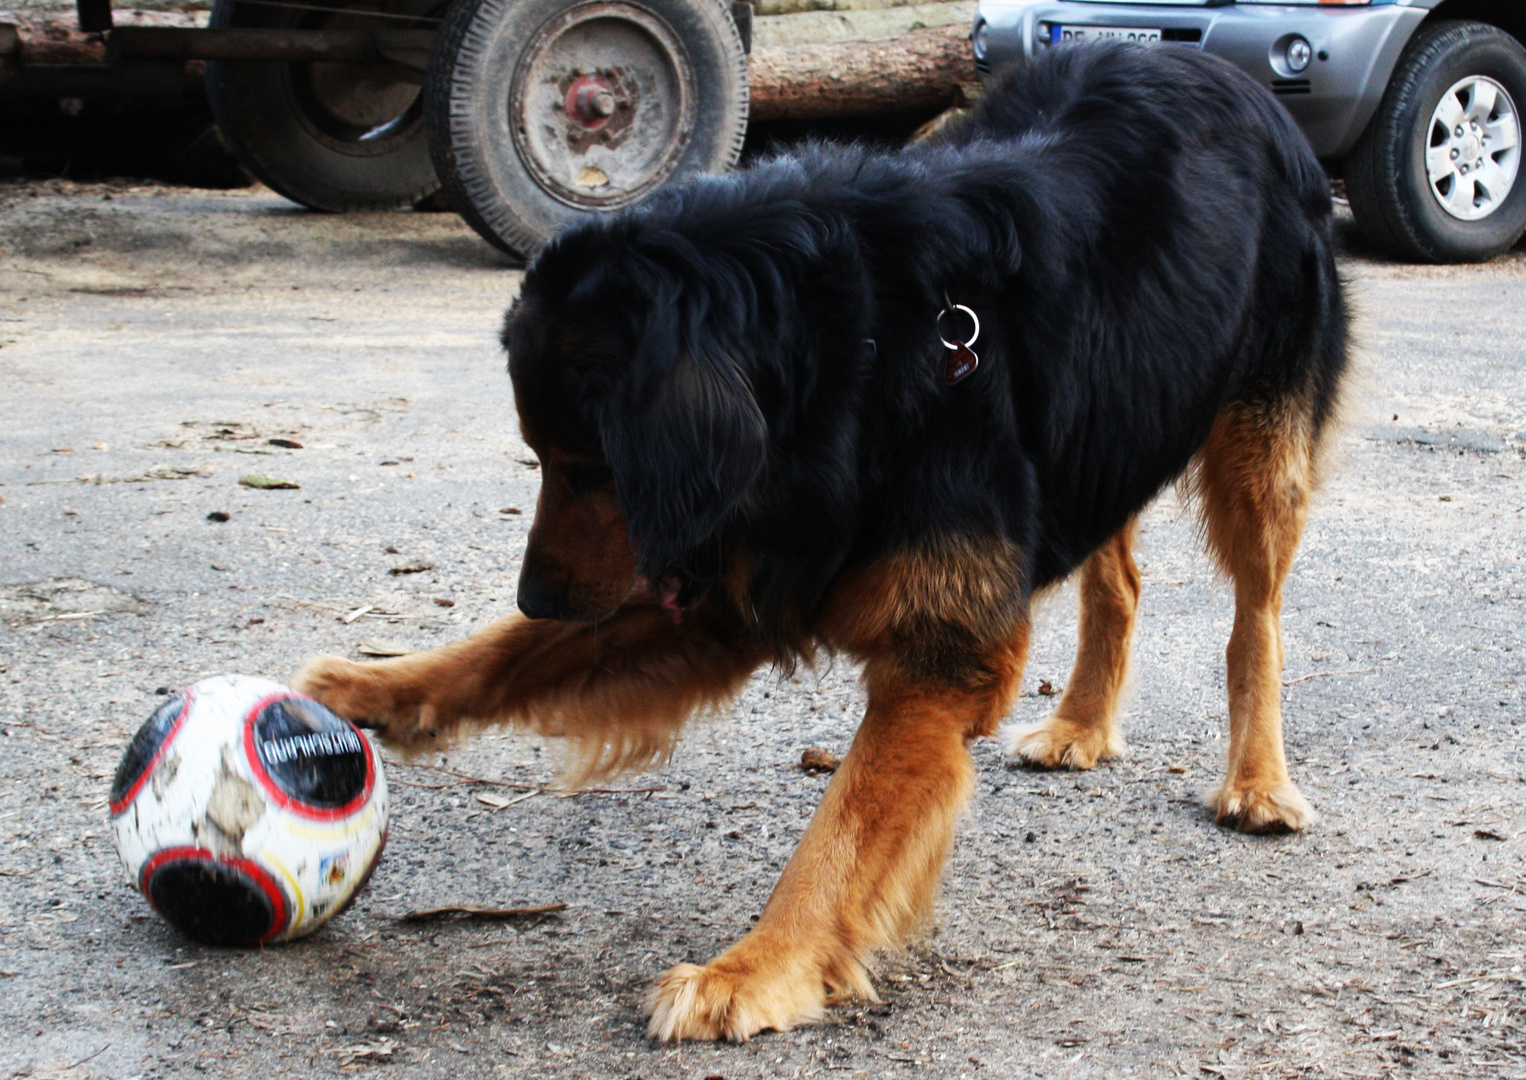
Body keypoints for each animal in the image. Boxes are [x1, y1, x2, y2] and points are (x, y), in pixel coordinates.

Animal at [294, 44, 1348, 1043]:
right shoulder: (726, 581)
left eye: (593, 465)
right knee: (1120, 578)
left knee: (1256, 614)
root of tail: (1212, 65)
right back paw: (1082, 725)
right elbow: (503, 657)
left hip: (1255, 450)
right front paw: (372, 690)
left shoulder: (934, 650)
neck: (862, 350)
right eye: (545, 458)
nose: (539, 598)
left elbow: (839, 833)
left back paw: (1258, 779)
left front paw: (754, 968)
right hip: (1113, 429)